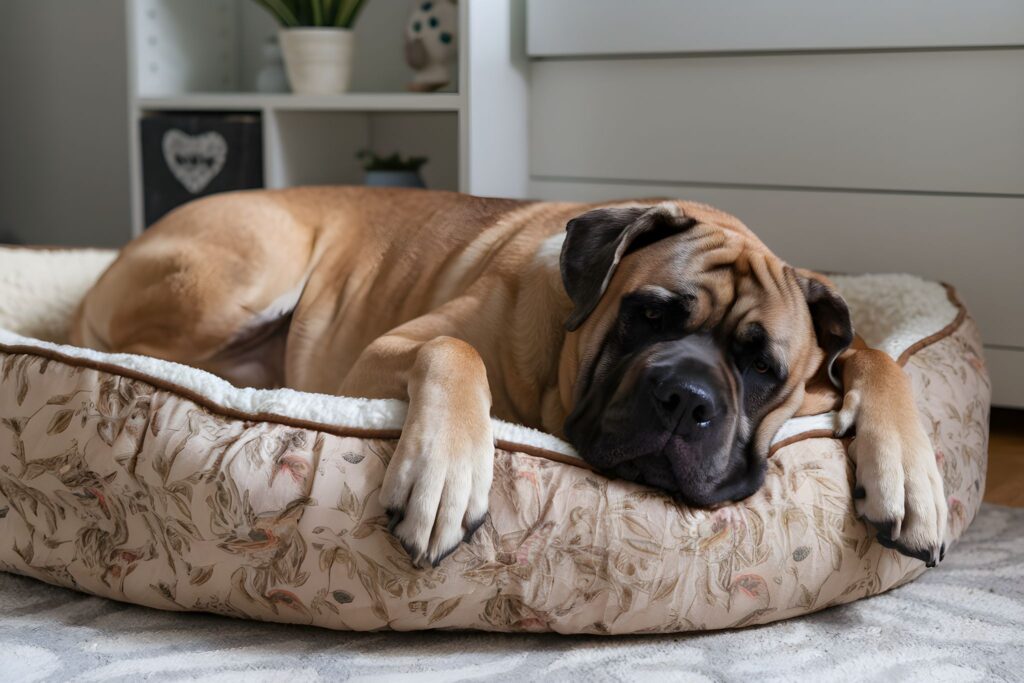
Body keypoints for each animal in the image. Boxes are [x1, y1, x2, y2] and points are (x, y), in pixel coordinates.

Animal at [72, 187, 947, 568]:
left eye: (763, 368)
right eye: (648, 314)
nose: (687, 398)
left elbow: (872, 352)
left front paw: (912, 479)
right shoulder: (378, 355)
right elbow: (455, 353)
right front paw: (445, 474)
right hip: (256, 268)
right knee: (144, 353)